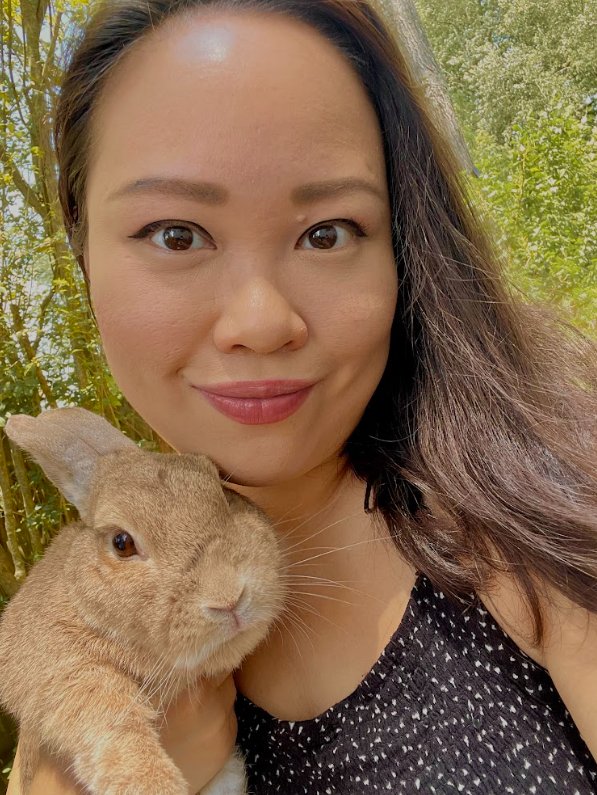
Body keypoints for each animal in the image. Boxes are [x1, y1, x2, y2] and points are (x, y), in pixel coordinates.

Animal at [0, 407, 287, 795]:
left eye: (223, 493)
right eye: (121, 543)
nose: (229, 597)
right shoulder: (56, 669)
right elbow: (105, 713)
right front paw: (151, 782)